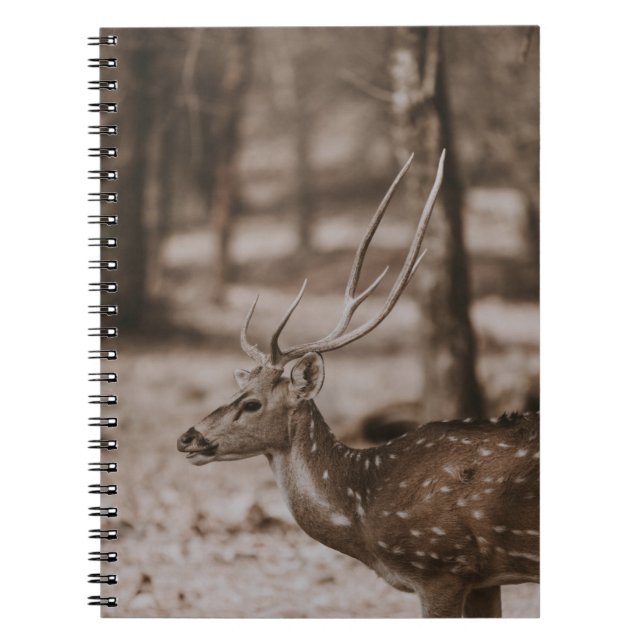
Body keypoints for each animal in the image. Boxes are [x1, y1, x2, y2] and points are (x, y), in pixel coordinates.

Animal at [177, 151, 539, 618]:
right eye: (234, 392)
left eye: (252, 403)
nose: (187, 437)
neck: (367, 513)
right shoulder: (484, 581)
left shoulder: (442, 567)